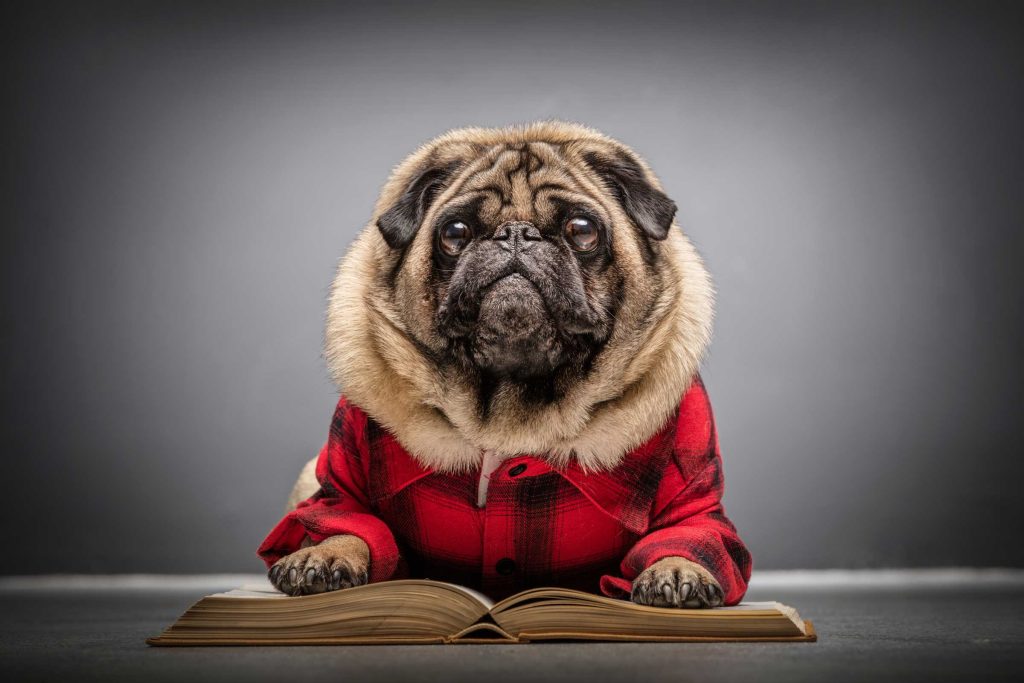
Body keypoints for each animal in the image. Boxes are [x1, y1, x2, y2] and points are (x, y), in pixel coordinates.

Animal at [258, 121, 753, 610]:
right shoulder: (342, 481)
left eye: (582, 230)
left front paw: (677, 569)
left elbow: (689, 532)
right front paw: (324, 555)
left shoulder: (692, 494)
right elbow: (344, 520)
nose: (516, 233)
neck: (512, 408)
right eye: (455, 232)